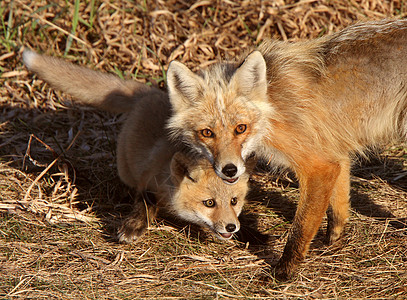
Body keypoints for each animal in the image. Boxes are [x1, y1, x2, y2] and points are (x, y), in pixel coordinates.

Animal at [23, 49, 252, 241]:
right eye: (209, 203)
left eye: (234, 201)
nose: (231, 227)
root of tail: (148, 92)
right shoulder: (147, 181)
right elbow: (144, 205)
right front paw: (133, 226)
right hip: (125, 167)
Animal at [166, 19, 407, 280]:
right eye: (207, 133)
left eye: (241, 128)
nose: (229, 170)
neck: (272, 110)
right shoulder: (336, 156)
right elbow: (338, 209)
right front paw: (333, 242)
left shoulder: (318, 166)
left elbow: (300, 227)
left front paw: (284, 270)